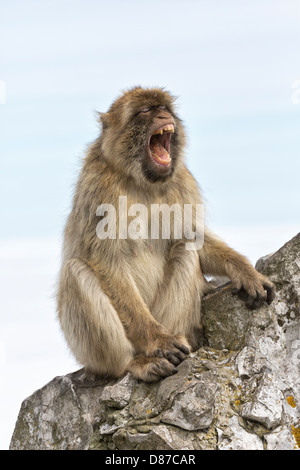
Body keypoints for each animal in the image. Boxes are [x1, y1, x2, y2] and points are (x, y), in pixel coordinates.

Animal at [56, 86, 274, 384]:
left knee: (185, 249)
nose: (163, 116)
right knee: (76, 272)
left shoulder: (183, 182)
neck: (141, 181)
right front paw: (158, 340)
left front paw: (245, 272)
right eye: (146, 111)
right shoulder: (98, 187)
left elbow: (193, 237)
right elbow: (106, 262)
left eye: (165, 108)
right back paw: (137, 362)